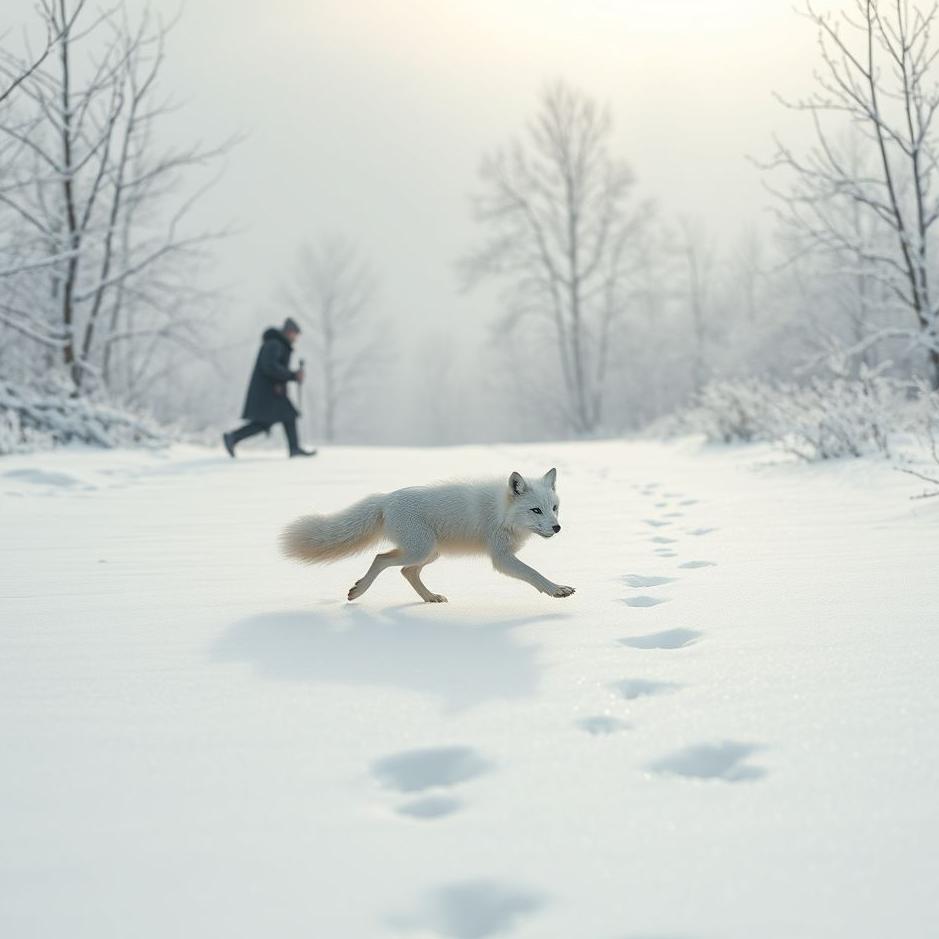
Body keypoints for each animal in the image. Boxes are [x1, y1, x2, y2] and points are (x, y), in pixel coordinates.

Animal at [281, 468, 575, 603]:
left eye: (554, 508)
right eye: (535, 510)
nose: (557, 528)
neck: (501, 511)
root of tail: (385, 499)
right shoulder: (501, 558)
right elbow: (534, 574)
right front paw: (556, 589)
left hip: (431, 553)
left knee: (406, 572)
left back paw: (430, 598)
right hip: (420, 549)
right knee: (381, 558)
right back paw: (359, 590)